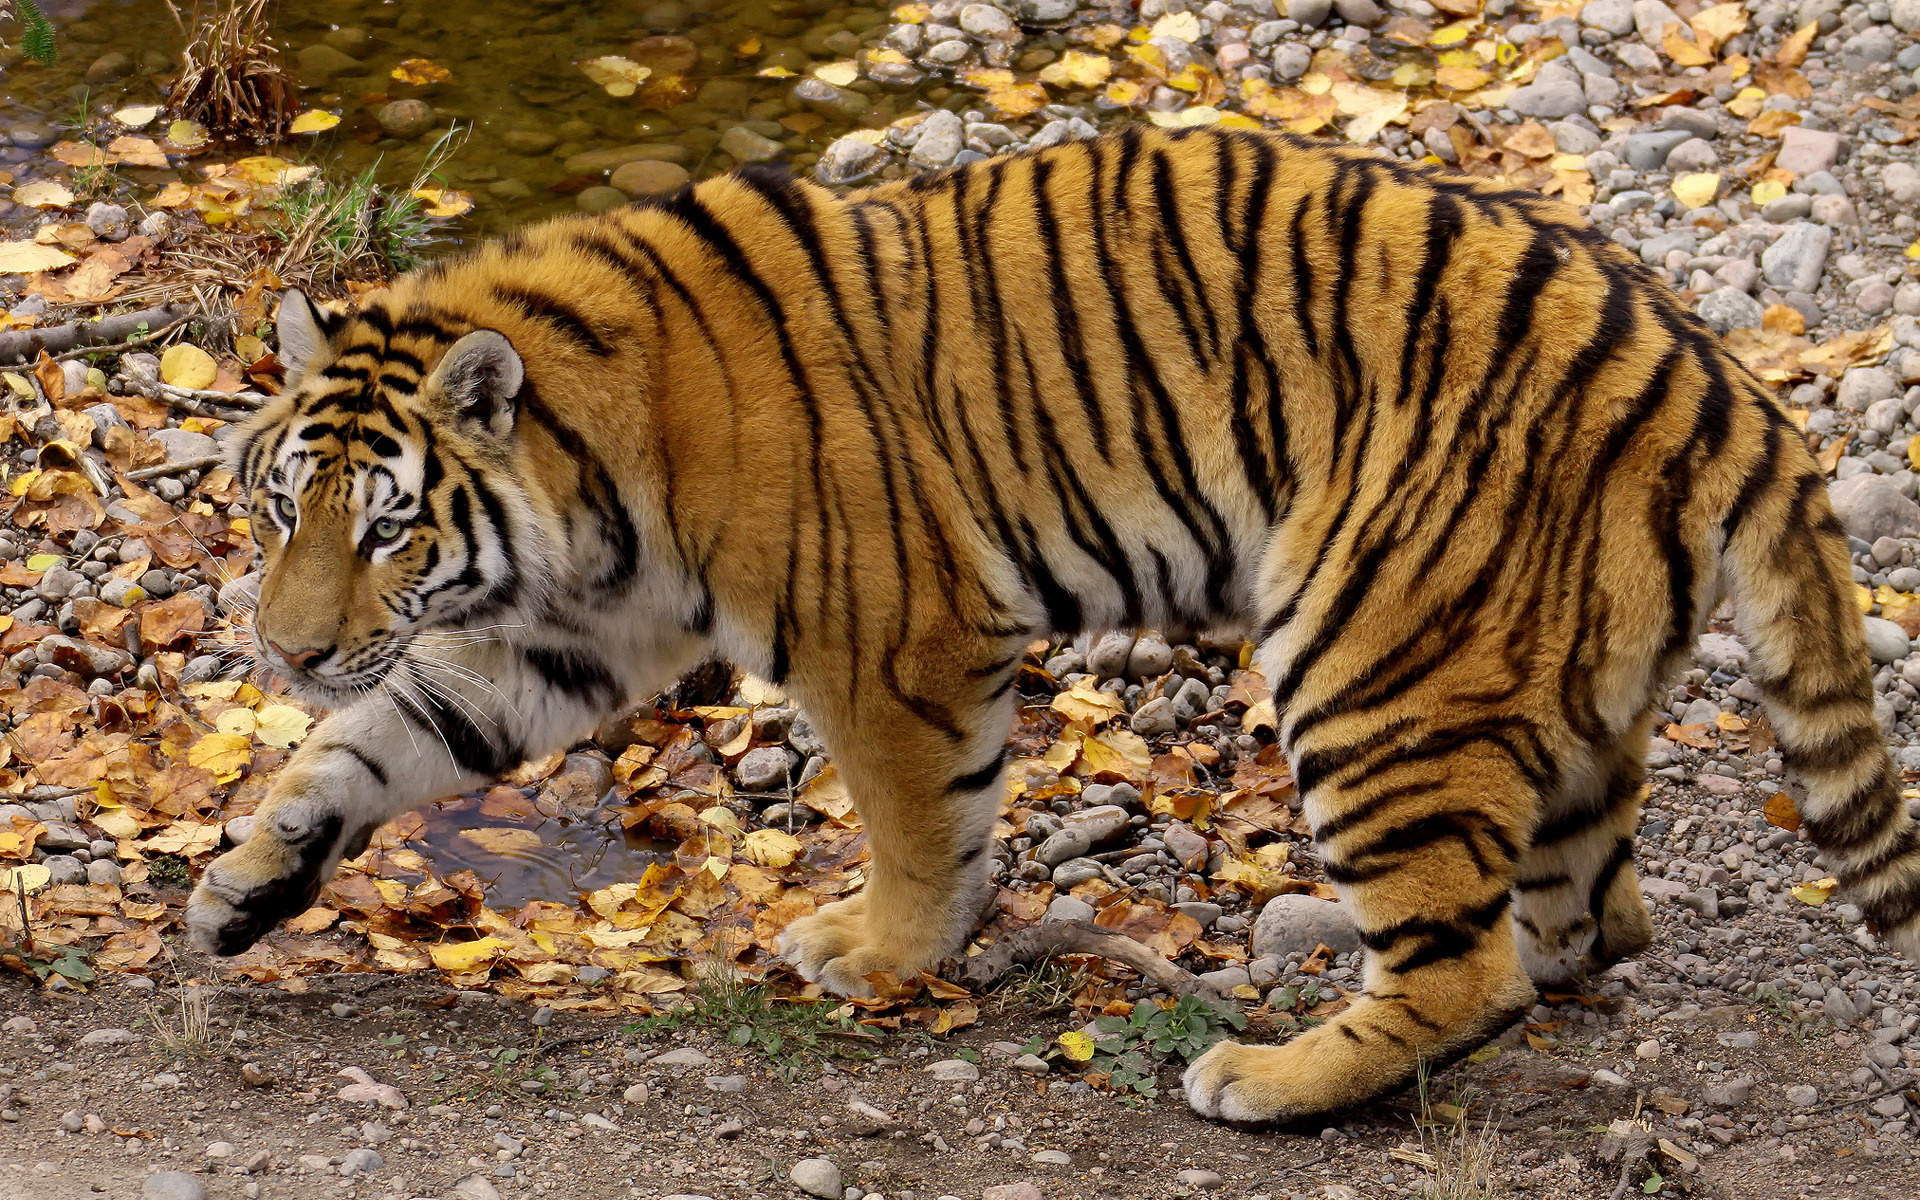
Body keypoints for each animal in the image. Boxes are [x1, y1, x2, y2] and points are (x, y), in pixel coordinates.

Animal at [183, 128, 1920, 1121]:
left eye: (388, 527)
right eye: (279, 512)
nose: (284, 649)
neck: (589, 472)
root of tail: (1717, 376)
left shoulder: (893, 640)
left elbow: (917, 825)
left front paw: (879, 955)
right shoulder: (567, 640)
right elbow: (376, 744)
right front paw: (241, 885)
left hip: (1371, 663)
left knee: (1467, 968)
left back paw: (1268, 1080)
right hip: (1553, 687)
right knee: (1585, 922)